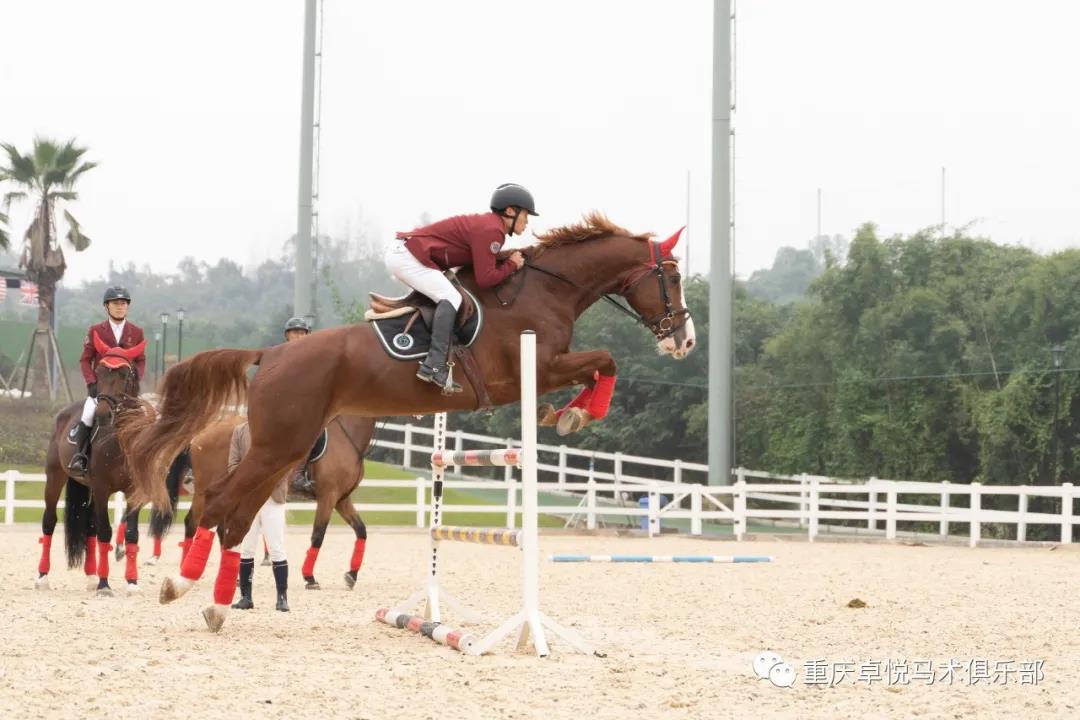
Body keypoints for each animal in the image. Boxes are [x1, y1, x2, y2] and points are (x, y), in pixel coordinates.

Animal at [116, 213, 691, 630]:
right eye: (674, 277)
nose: (683, 341)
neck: (544, 290)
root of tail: (271, 354)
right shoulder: (536, 368)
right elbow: (606, 359)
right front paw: (573, 414)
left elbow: (600, 364)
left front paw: (569, 414)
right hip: (278, 445)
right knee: (219, 505)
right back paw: (183, 588)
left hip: (282, 449)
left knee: (234, 515)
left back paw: (211, 603)